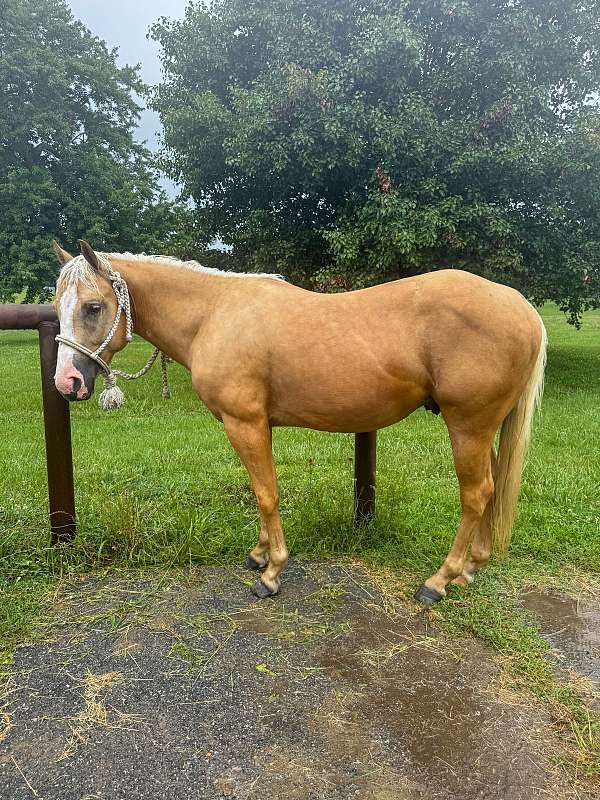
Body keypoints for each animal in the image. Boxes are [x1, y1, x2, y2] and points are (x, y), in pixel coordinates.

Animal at [52, 240, 547, 604]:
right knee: (493, 488)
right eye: (56, 307)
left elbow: (266, 493)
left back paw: (440, 580)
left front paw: (271, 573)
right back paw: (470, 569)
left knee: (476, 494)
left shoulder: (244, 423)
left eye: (93, 307)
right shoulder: (258, 426)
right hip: (483, 430)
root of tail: (521, 306)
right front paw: (259, 554)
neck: (215, 313)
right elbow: (261, 491)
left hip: (468, 427)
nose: (66, 382)